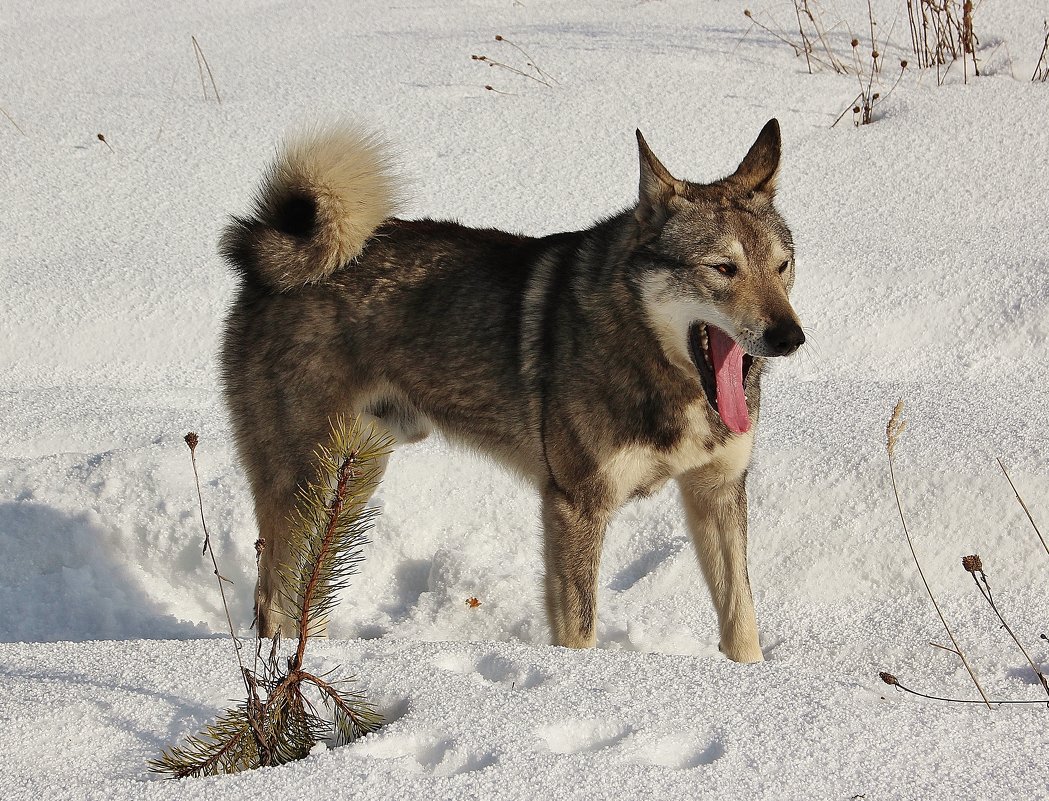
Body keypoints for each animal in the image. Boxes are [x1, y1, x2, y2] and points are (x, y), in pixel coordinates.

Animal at [223, 117, 801, 658]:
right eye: (723, 268)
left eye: (782, 266)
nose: (791, 337)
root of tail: (267, 253)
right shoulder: (575, 506)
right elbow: (580, 631)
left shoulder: (717, 491)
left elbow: (742, 619)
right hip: (305, 483)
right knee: (274, 599)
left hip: (354, 478)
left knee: (311, 590)